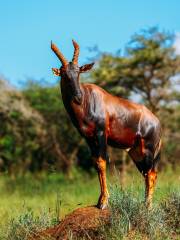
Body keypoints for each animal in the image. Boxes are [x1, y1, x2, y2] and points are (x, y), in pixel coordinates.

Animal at [50, 39, 162, 208]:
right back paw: (145, 204)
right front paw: (100, 200)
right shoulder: (88, 138)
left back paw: (147, 206)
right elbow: (96, 163)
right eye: (64, 74)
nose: (78, 96)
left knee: (151, 173)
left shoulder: (101, 134)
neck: (88, 99)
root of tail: (156, 121)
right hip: (135, 152)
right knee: (147, 173)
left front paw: (103, 202)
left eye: (78, 72)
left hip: (148, 150)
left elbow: (102, 162)